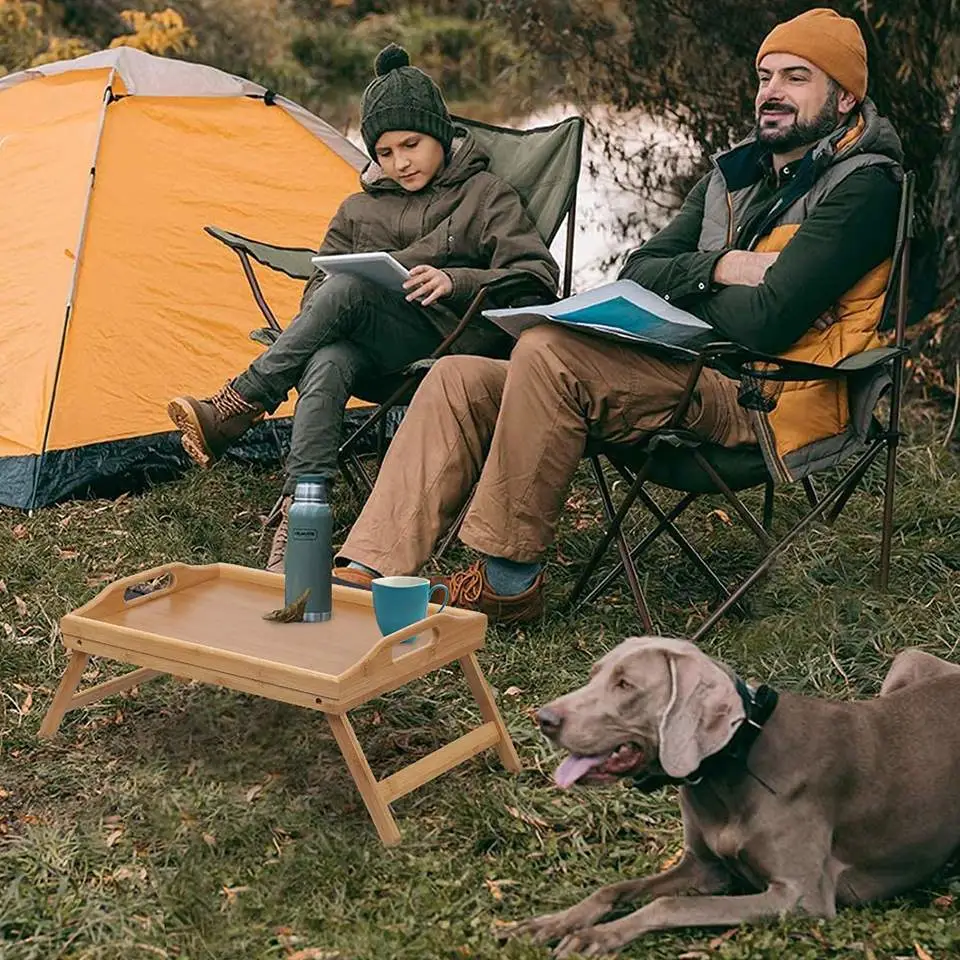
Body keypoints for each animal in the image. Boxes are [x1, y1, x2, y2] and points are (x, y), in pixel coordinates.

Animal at [502, 632, 960, 956]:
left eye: (625, 684)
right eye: (594, 673)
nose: (543, 718)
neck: (732, 766)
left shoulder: (802, 897)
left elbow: (669, 906)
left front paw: (598, 936)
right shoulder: (705, 868)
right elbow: (612, 888)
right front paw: (551, 922)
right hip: (907, 659)